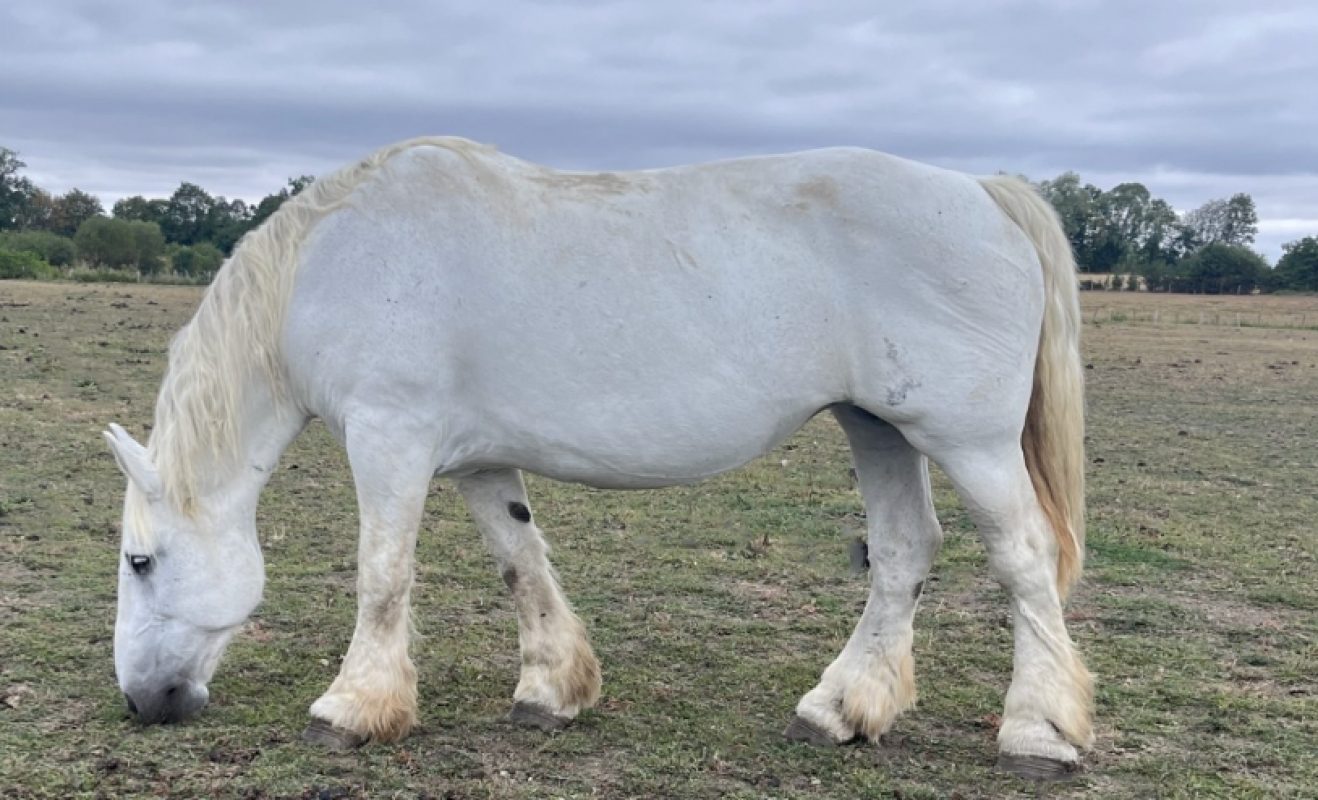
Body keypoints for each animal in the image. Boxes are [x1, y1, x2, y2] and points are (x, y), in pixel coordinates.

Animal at [103, 137, 1091, 779]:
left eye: (140, 560)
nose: (142, 702)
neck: (333, 264)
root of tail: (985, 192)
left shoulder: (390, 440)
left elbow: (382, 574)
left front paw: (352, 708)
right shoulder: (475, 461)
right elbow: (518, 560)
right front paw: (553, 688)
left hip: (967, 443)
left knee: (1024, 559)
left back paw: (1038, 731)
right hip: (877, 427)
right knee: (903, 553)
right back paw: (842, 709)